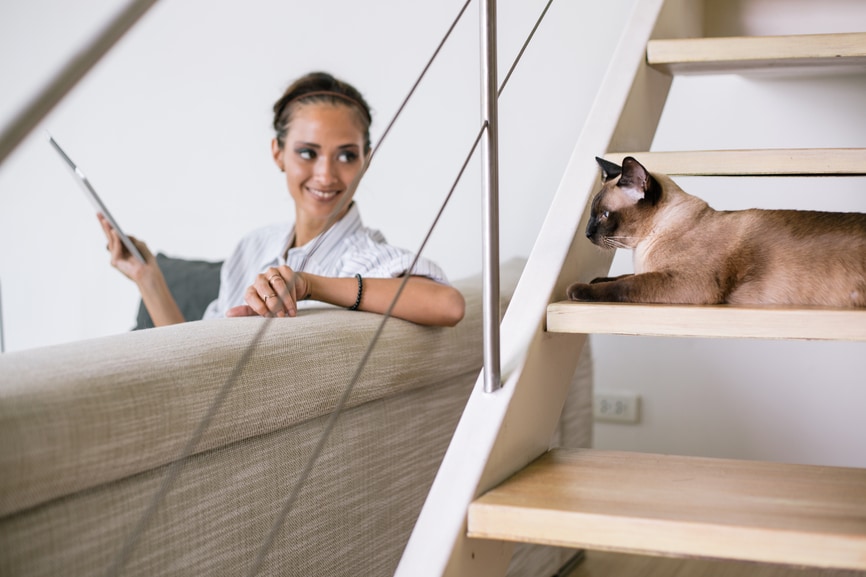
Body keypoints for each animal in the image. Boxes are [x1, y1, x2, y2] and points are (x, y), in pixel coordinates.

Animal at [568, 153, 864, 306]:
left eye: (604, 215)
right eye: (592, 213)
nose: (586, 233)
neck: (643, 247)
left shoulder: (681, 281)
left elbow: (625, 285)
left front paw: (578, 290)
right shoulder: (654, 271)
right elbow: (619, 277)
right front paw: (595, 280)